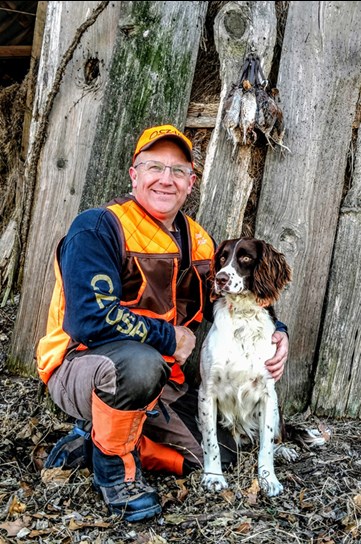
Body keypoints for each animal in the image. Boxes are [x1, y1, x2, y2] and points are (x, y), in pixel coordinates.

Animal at [198, 236, 294, 496]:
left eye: (246, 257)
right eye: (222, 257)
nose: (220, 278)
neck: (243, 316)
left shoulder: (268, 394)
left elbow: (266, 445)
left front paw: (268, 479)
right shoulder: (207, 391)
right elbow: (211, 441)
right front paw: (213, 477)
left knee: (275, 438)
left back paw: (286, 450)